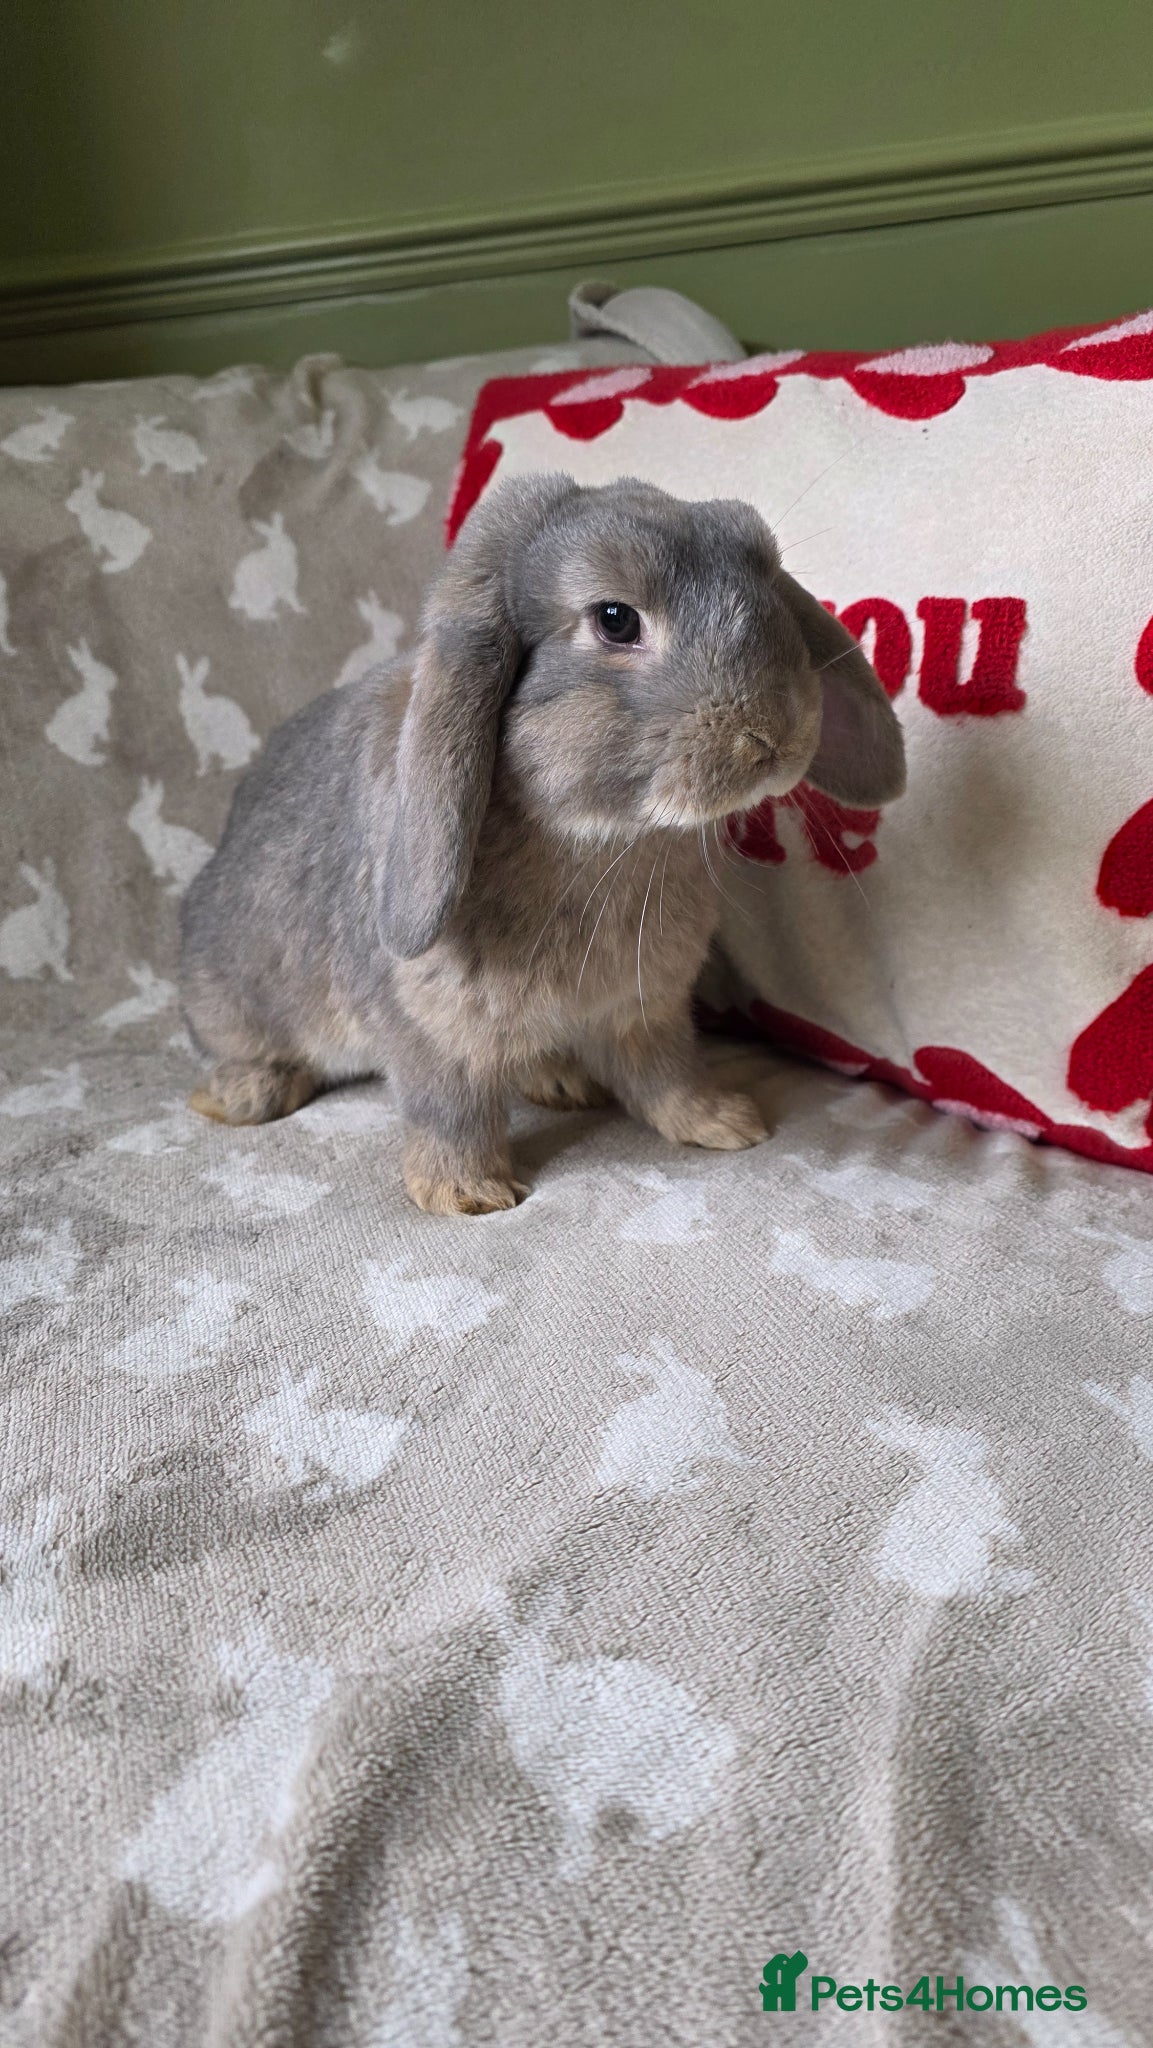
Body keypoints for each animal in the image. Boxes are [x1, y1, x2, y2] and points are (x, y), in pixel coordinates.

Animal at [180, 473, 905, 1215]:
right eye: (615, 619)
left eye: (766, 581)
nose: (774, 732)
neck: (611, 841)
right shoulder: (429, 1030)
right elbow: (449, 1109)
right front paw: (466, 1194)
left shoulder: (646, 1010)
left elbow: (667, 1073)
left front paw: (724, 1124)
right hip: (232, 996)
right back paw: (242, 1096)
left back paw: (560, 1080)